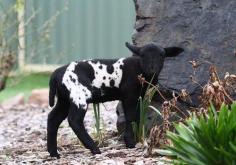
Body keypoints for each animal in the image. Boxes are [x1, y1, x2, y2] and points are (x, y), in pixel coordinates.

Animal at [47, 41, 184, 157]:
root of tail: (56, 74)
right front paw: (130, 142)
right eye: (142, 55)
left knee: (53, 118)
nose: (152, 69)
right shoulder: (129, 94)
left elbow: (138, 116)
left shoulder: (139, 97)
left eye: (162, 55)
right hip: (79, 95)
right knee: (74, 120)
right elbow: (130, 116)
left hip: (64, 98)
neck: (140, 69)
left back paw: (54, 153)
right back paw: (94, 148)